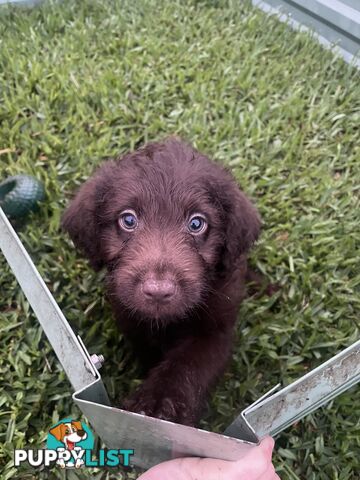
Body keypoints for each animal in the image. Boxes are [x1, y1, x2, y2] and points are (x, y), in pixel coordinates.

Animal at [61, 137, 258, 426]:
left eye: (197, 223)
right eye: (128, 219)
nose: (158, 292)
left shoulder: (217, 329)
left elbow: (188, 365)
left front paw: (158, 405)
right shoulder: (131, 319)